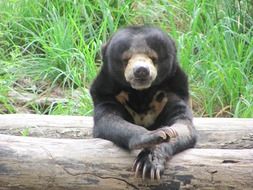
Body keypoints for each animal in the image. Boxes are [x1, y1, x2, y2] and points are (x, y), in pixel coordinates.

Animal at [90, 25, 197, 180]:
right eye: (126, 59)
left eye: (153, 58)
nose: (141, 71)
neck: (141, 92)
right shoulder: (107, 93)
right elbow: (109, 120)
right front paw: (154, 135)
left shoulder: (172, 91)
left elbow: (182, 126)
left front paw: (149, 162)